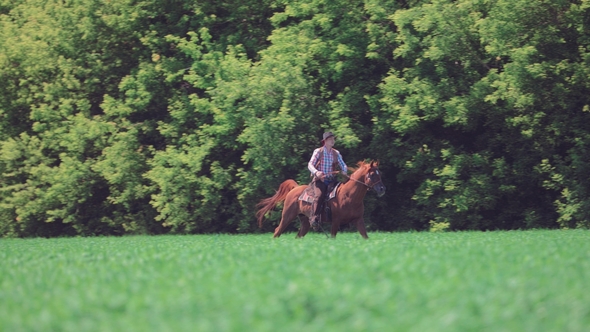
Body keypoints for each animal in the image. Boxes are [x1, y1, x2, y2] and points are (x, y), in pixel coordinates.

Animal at [256, 161, 386, 239]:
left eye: (379, 173)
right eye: (372, 175)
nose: (382, 189)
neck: (349, 196)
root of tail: (295, 188)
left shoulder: (358, 220)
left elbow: (365, 236)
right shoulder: (336, 221)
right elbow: (333, 237)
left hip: (305, 221)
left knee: (298, 235)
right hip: (287, 216)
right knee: (277, 230)